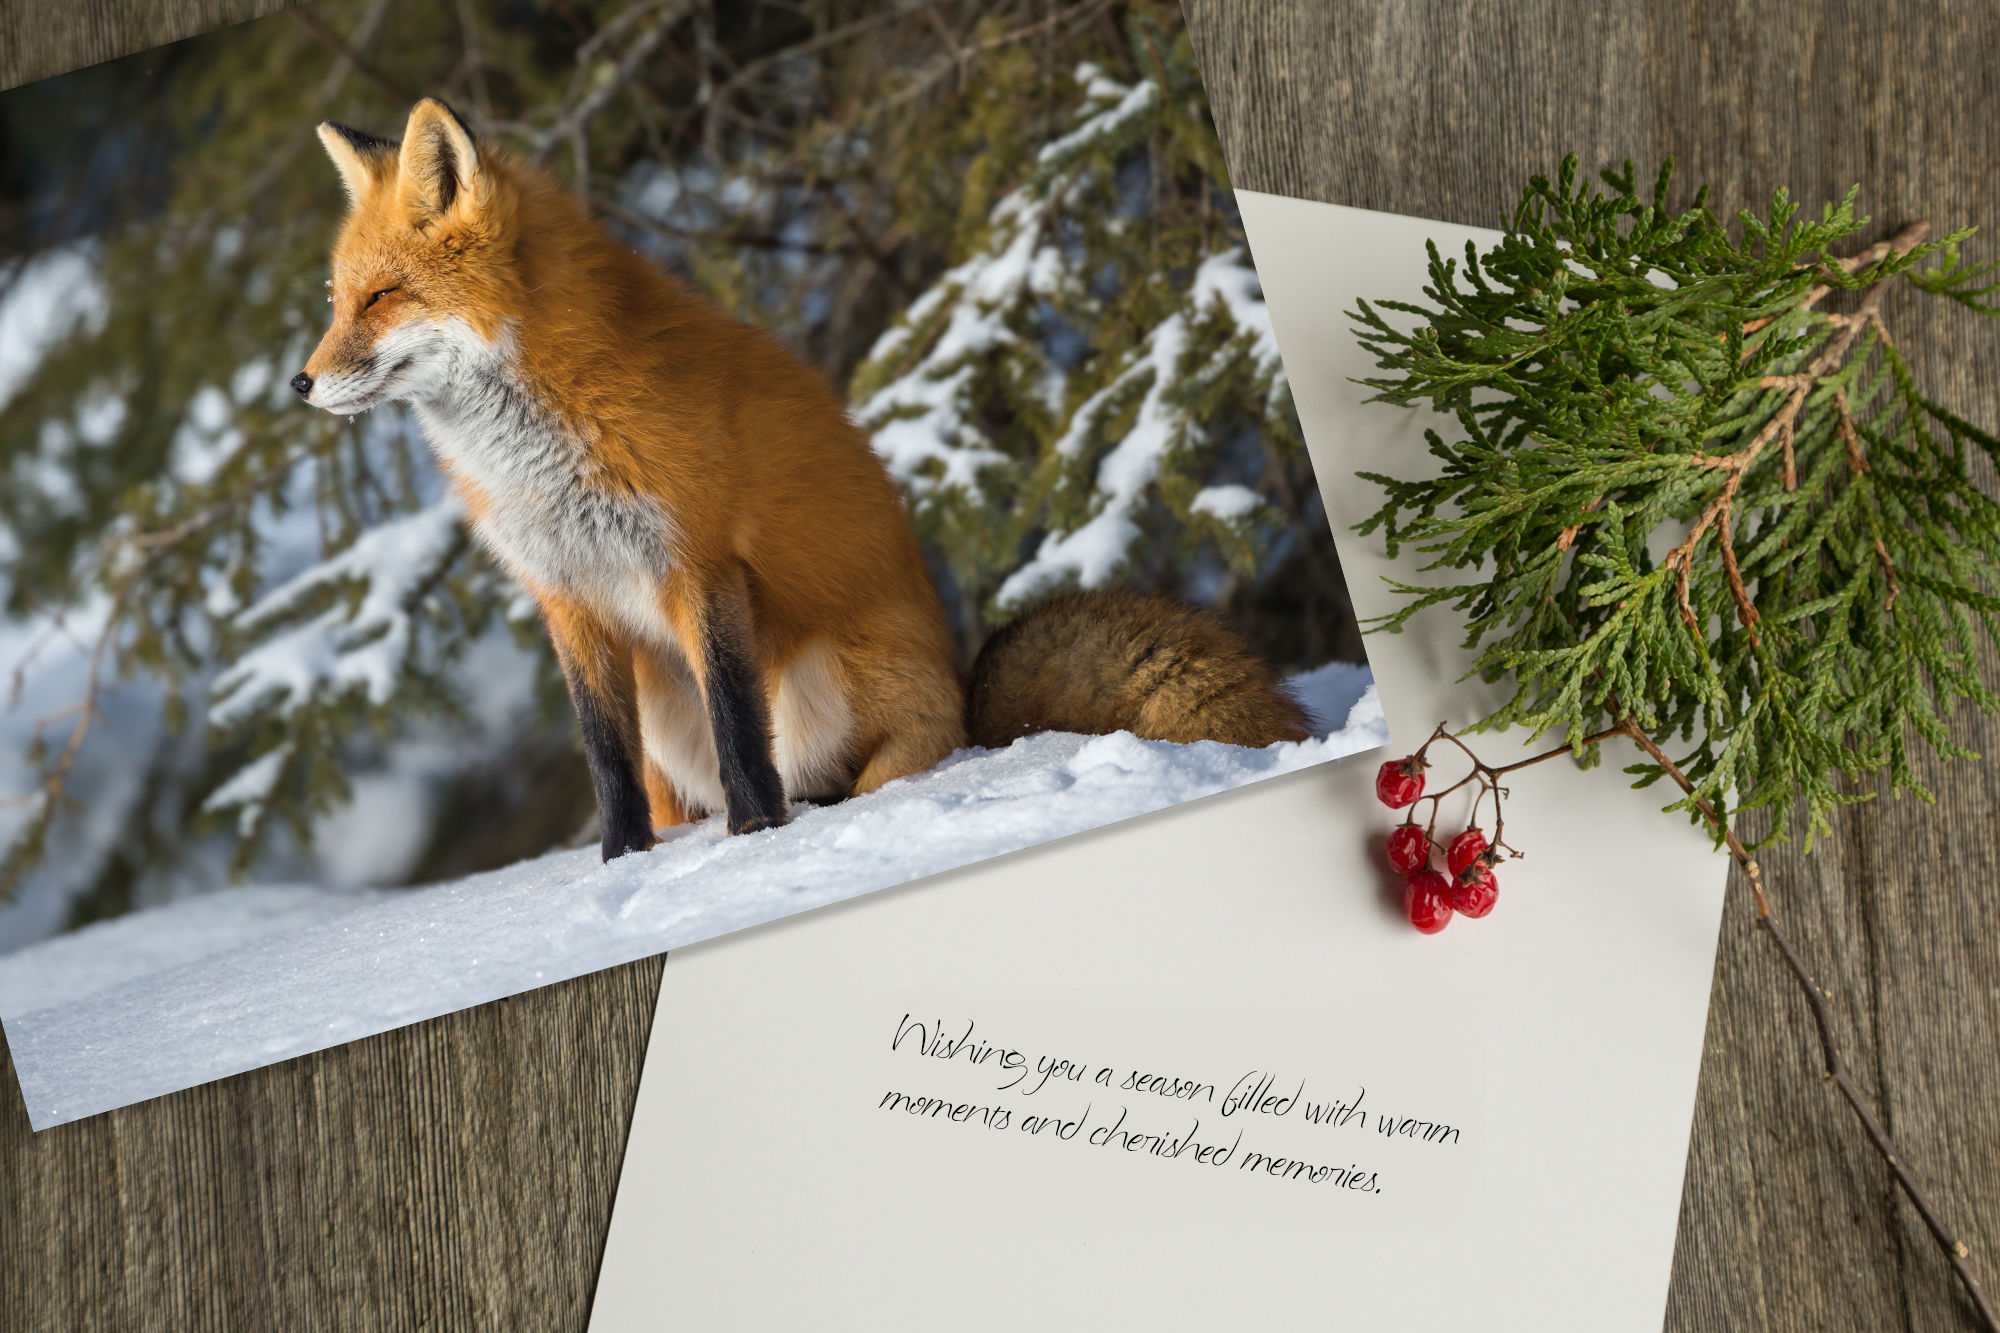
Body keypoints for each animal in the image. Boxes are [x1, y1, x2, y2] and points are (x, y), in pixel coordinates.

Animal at [296, 99, 1308, 863]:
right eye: (339, 301)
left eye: (382, 297)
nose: (301, 384)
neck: (539, 453)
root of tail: (967, 697)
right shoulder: (568, 598)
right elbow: (606, 762)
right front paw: (624, 867)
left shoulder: (700, 565)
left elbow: (742, 732)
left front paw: (755, 843)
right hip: (666, 706)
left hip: (822, 677)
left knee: (859, 773)